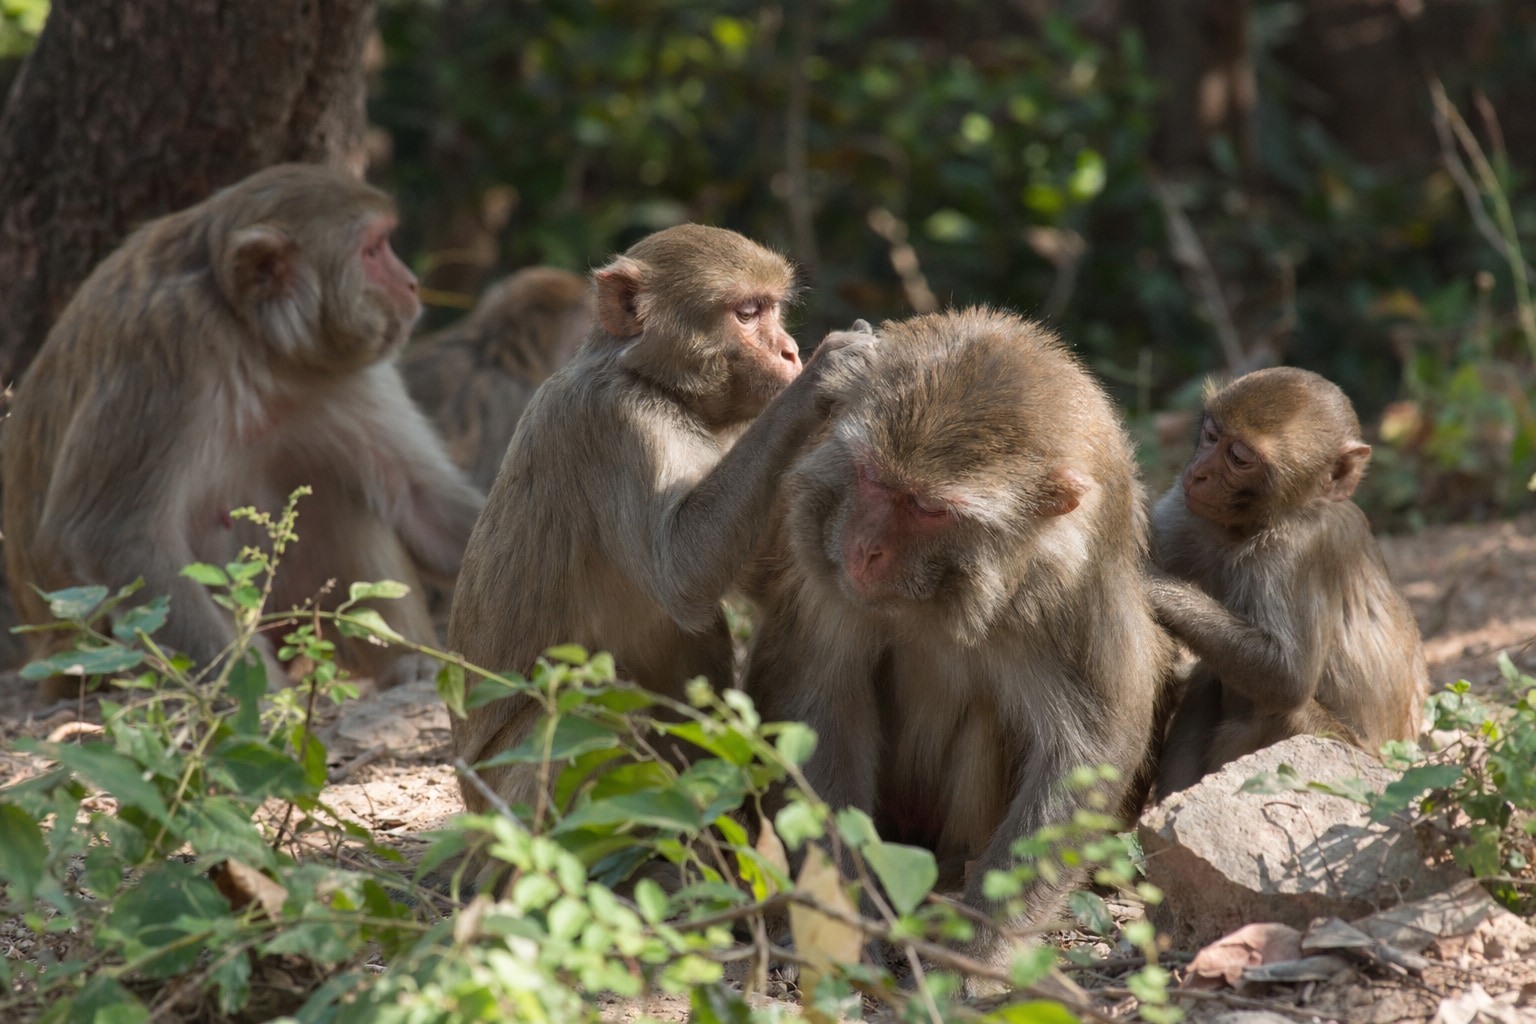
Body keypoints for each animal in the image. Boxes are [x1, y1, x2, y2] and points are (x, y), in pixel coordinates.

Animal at [2, 163, 485, 702]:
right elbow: (110, 535)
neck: (258, 341)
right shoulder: (166, 348)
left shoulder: (348, 372)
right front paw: (262, 699)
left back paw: (409, 665)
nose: (412, 284)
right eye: (374, 249)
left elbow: (420, 500)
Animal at [447, 223, 878, 829]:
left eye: (773, 308)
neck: (656, 386)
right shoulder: (613, 424)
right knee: (596, 707)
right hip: (509, 794)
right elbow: (681, 574)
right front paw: (825, 375)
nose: (792, 351)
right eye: (747, 313)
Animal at [740, 307, 1176, 967]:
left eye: (927, 507)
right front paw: (846, 921)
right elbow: (817, 704)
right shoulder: (821, 565)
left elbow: (1084, 752)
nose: (864, 549)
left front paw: (981, 953)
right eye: (871, 478)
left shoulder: (1070, 596)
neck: (938, 596)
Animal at [1146, 366, 1429, 798]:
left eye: (1240, 457)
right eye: (1211, 435)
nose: (1198, 473)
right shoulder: (1187, 506)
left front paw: (1150, 584)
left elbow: (1287, 679)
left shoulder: (1301, 551)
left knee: (1281, 711)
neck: (1256, 524)